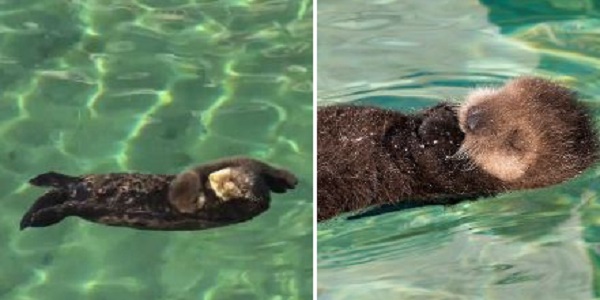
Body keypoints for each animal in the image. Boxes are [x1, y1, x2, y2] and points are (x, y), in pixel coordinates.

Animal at [20, 158, 298, 231]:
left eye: (228, 181)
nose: (213, 179)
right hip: (91, 181)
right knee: (63, 184)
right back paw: (43, 179)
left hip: (84, 206)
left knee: (61, 205)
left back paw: (33, 219)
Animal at [316, 76, 596, 221]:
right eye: (505, 92)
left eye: (515, 141)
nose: (473, 117)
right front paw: (443, 112)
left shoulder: (457, 182)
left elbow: (434, 162)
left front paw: (439, 127)